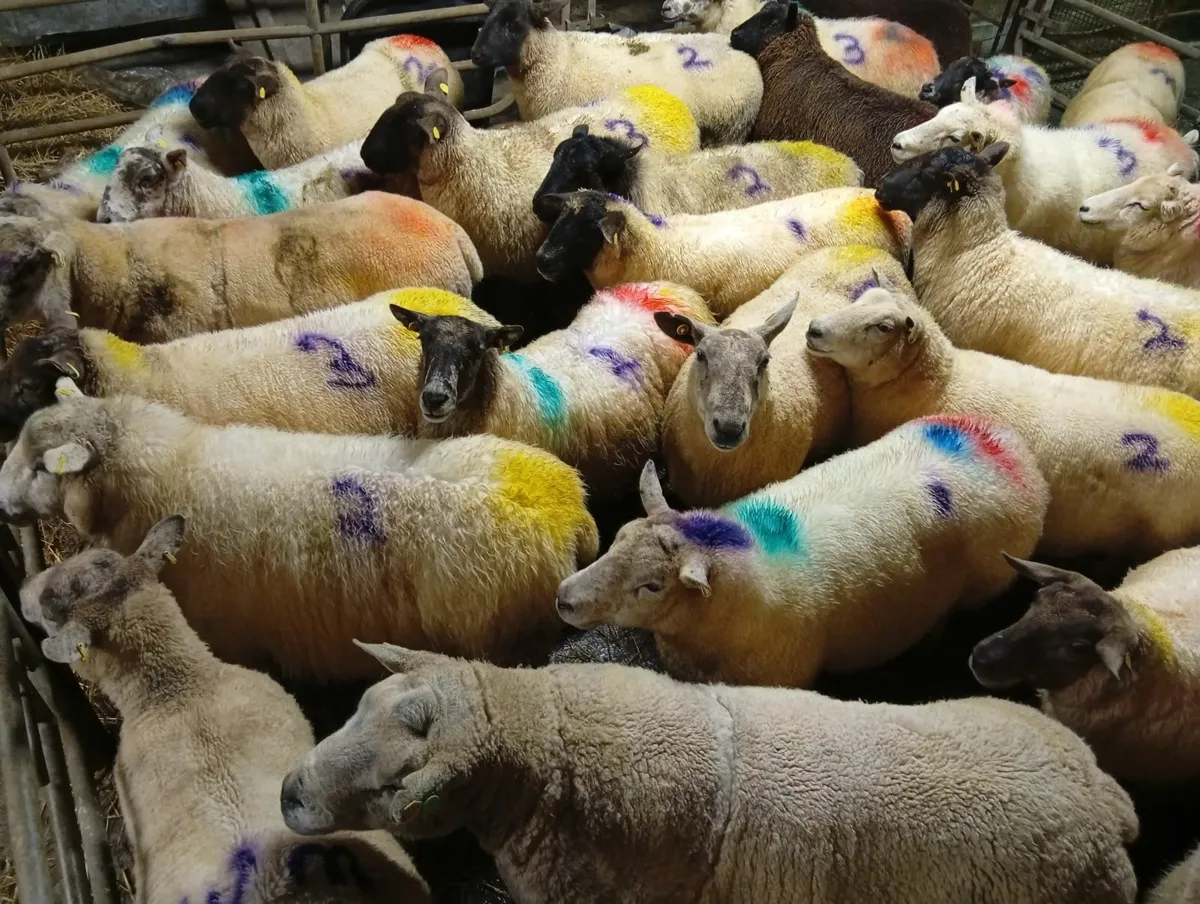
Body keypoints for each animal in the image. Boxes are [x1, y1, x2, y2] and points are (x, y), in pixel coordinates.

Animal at [0, 390, 598, 680]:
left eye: (41, 467)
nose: (3, 504)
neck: (170, 470)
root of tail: (570, 509)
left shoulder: (229, 634)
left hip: (503, 641)